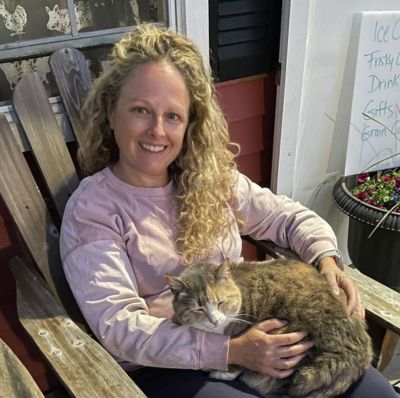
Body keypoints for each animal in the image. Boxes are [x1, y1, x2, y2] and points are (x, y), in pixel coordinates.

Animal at [165, 258, 372, 398]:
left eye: (221, 302)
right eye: (199, 309)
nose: (215, 321)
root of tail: (362, 357)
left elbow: (234, 366)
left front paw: (221, 372)